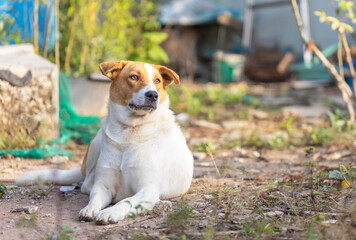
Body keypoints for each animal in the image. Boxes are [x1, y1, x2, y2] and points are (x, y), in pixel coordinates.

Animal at [16, 60, 195, 225]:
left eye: (157, 81)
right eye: (134, 77)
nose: (153, 95)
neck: (130, 132)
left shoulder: (147, 191)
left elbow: (126, 201)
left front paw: (110, 212)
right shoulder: (103, 185)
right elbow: (95, 197)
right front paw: (90, 209)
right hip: (96, 141)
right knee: (86, 183)